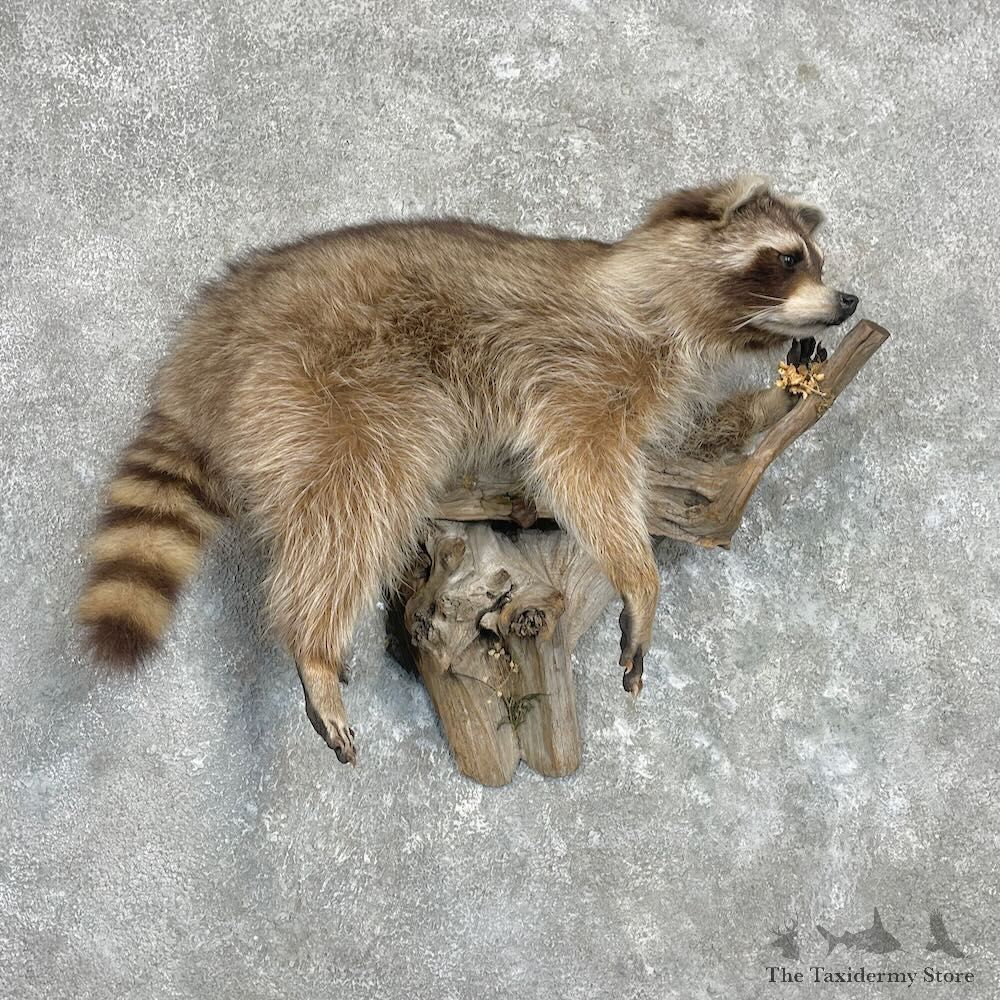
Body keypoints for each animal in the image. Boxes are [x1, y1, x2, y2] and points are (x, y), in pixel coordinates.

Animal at [77, 176, 858, 765]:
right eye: (789, 259)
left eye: (818, 260)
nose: (849, 299)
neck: (665, 302)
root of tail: (206, 349)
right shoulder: (587, 365)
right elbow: (579, 466)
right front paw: (639, 576)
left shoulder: (662, 383)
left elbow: (680, 448)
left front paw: (772, 400)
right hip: (330, 382)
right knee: (355, 503)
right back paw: (313, 643)